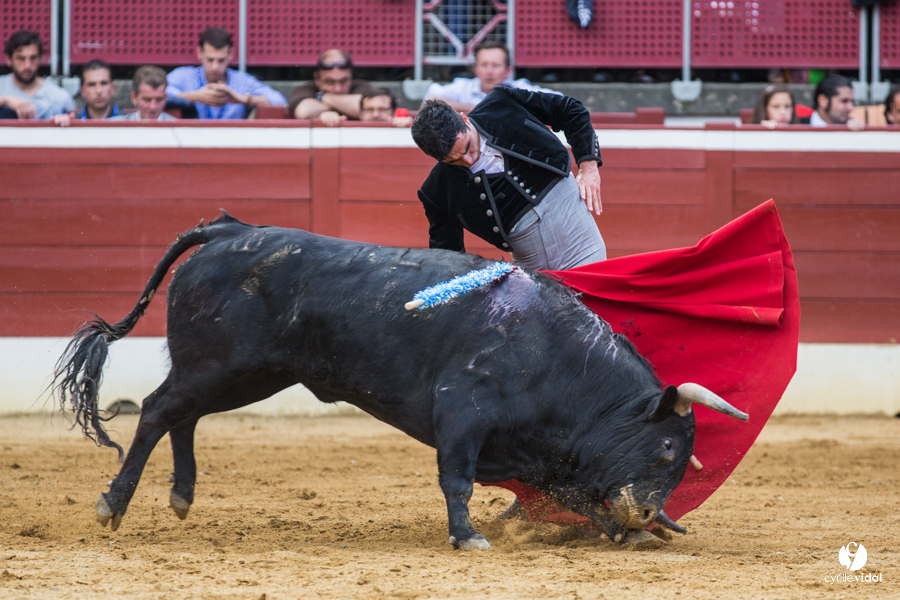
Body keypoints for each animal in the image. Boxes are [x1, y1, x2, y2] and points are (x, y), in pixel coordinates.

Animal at [54, 212, 748, 550]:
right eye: (666, 447)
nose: (647, 512)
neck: (559, 360)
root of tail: (230, 229)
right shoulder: (461, 414)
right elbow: (456, 479)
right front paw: (468, 538)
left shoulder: (546, 455)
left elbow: (578, 496)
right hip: (221, 365)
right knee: (154, 410)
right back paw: (114, 505)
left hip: (242, 373)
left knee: (182, 414)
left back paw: (181, 496)